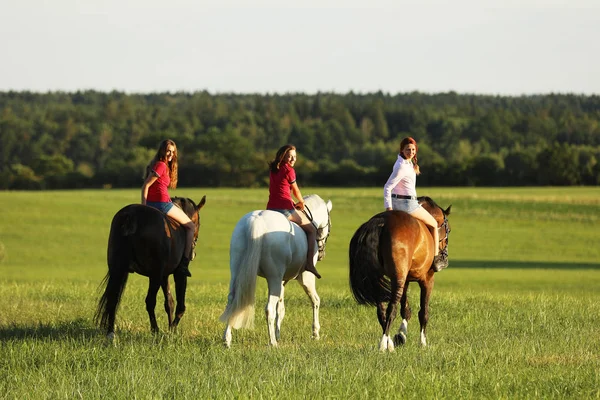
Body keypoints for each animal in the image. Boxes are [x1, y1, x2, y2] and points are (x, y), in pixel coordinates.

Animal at [95, 195, 205, 340]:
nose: (194, 252)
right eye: (198, 223)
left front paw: (170, 328)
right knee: (150, 301)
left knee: (113, 299)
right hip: (155, 275)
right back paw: (155, 330)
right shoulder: (178, 274)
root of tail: (131, 215)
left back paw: (111, 333)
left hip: (118, 270)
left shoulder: (164, 275)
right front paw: (172, 330)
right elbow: (180, 305)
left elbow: (169, 302)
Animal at [220, 194, 332, 346]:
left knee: (232, 300)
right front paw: (315, 333)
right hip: (274, 277)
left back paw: (227, 340)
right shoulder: (305, 278)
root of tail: (256, 221)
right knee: (269, 309)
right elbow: (315, 301)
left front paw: (279, 333)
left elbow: (281, 308)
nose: (321, 254)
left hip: (237, 272)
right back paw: (273, 342)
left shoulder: (282, 281)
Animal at [346, 196, 450, 350]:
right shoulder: (427, 279)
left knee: (381, 311)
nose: (444, 258)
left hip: (379, 279)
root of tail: (381, 222)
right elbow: (423, 312)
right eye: (448, 229)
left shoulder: (405, 280)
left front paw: (401, 335)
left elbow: (405, 310)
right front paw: (423, 343)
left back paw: (389, 343)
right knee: (391, 309)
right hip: (398, 279)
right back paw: (383, 344)